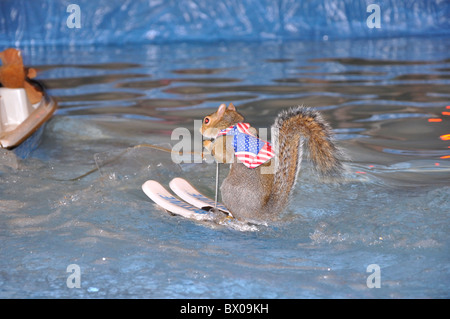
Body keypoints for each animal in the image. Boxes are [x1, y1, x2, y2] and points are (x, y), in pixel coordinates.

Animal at [200, 103, 344, 222]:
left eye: (207, 120)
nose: (200, 130)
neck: (232, 124)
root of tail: (261, 214)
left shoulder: (226, 142)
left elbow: (223, 156)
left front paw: (207, 144)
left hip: (228, 189)